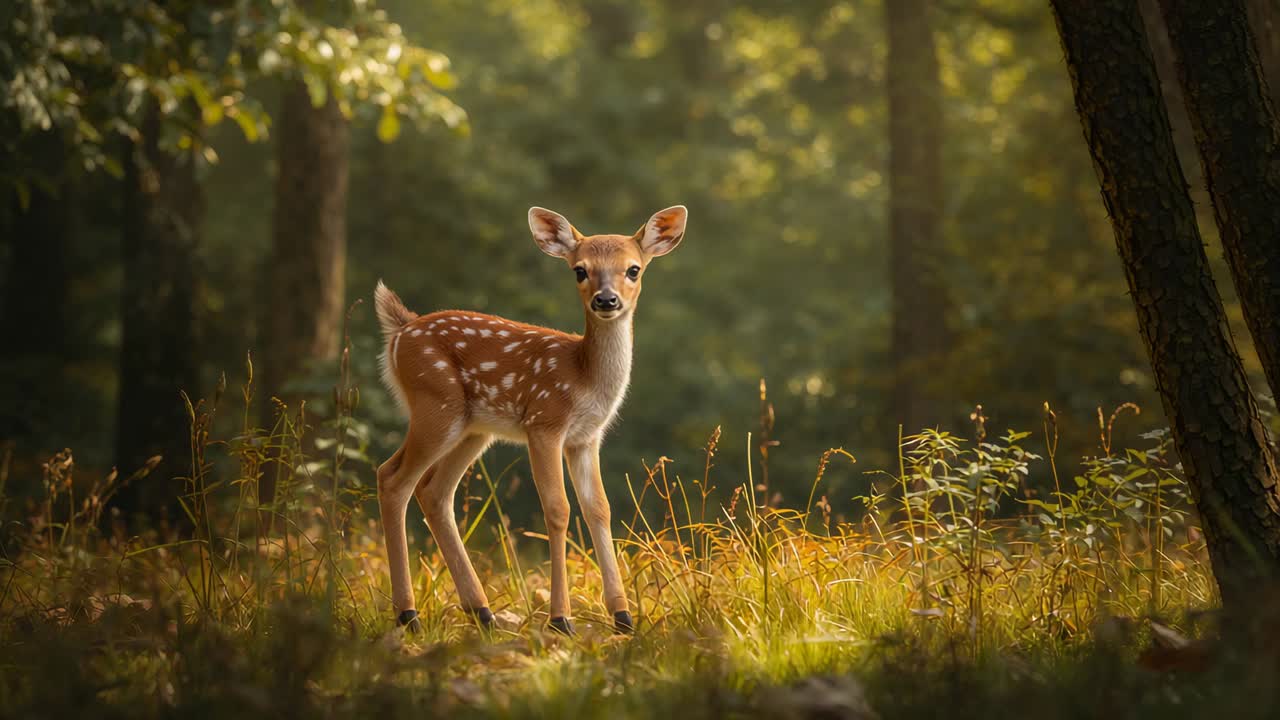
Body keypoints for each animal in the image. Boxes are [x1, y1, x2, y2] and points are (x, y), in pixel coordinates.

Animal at [373, 205, 687, 636]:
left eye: (634, 269)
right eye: (580, 270)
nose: (607, 300)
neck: (583, 377)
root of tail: (401, 329)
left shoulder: (586, 438)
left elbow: (599, 509)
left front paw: (623, 618)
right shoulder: (544, 422)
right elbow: (558, 509)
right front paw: (561, 619)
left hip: (473, 428)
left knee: (433, 491)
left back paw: (482, 613)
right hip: (435, 404)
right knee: (393, 478)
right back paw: (409, 615)